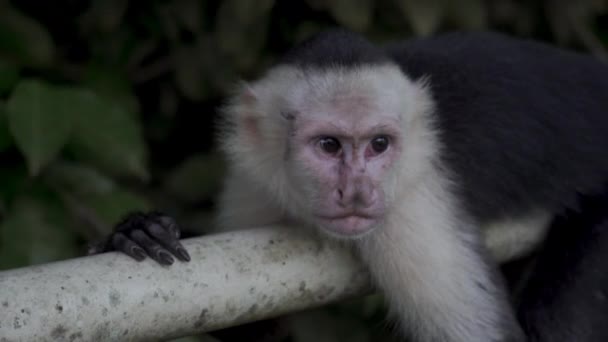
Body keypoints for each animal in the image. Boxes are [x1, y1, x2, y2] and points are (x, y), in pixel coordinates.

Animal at [95, 30, 608, 340]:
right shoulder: (256, 184)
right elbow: (246, 317)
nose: (358, 193)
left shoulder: (410, 210)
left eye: (379, 144)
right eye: (328, 145)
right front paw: (139, 229)